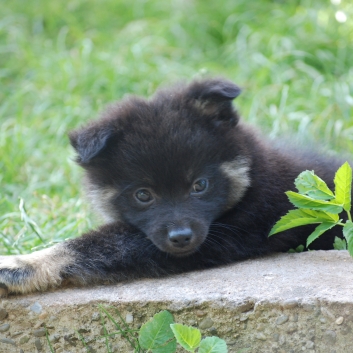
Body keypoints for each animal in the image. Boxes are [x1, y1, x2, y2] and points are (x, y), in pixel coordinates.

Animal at [0, 78, 344, 296]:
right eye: (143, 195)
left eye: (200, 185)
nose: (181, 237)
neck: (253, 177)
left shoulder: (235, 229)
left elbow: (94, 245)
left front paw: (19, 266)